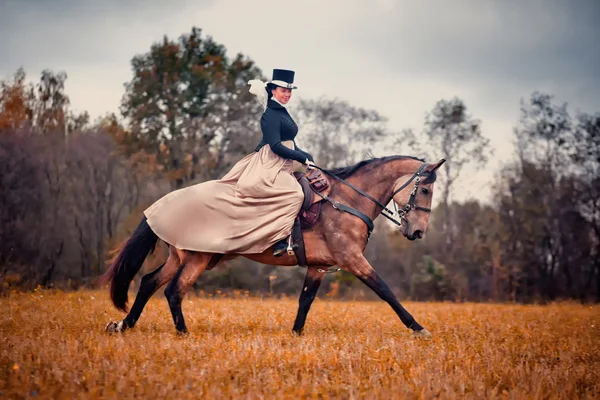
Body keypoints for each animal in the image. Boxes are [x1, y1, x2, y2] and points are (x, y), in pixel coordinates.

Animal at [103, 155, 446, 340]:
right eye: (425, 190)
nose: (417, 232)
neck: (347, 201)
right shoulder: (352, 259)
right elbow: (386, 292)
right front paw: (419, 329)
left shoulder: (319, 266)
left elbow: (305, 302)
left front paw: (295, 335)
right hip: (198, 259)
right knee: (174, 291)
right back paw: (183, 335)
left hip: (181, 256)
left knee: (149, 283)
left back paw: (124, 325)